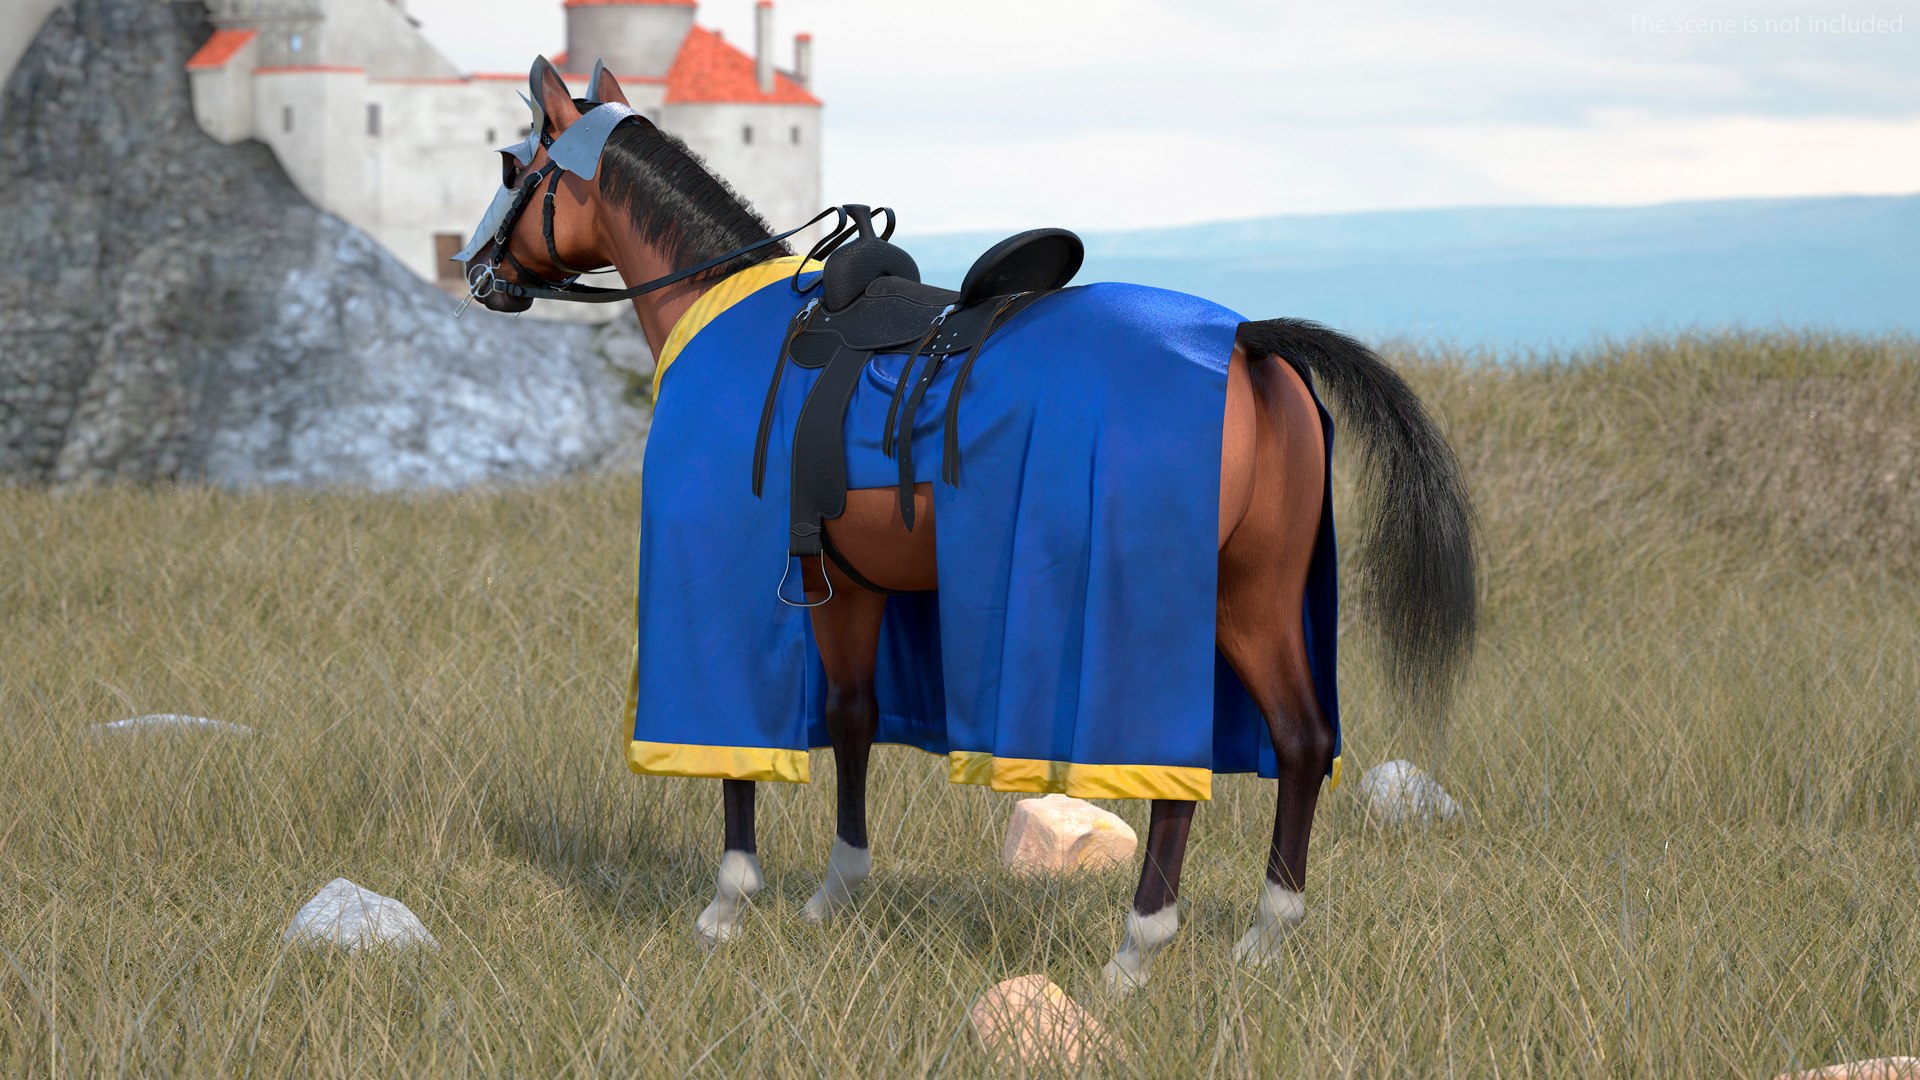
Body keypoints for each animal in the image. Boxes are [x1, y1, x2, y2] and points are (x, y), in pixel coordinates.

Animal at [457, 58, 1477, 992]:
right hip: (1253, 597)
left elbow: (737, 756)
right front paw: (836, 891)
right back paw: (1267, 936)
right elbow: (852, 715)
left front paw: (727, 904)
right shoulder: (846, 586)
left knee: (1172, 777)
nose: (479, 273)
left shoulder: (724, 583)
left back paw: (1136, 951)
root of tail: (1243, 341)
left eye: (514, 166)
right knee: (1301, 741)